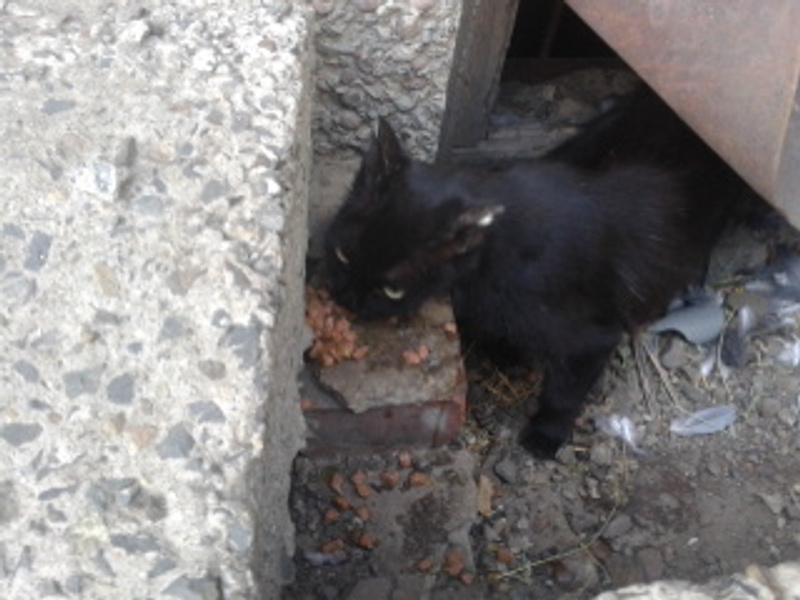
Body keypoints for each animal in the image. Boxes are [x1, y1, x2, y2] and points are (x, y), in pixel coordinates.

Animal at [322, 84, 753, 458]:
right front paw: (506, 353)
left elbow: (564, 392)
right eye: (342, 255)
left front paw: (546, 435)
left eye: (392, 289)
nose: (345, 297)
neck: (492, 258)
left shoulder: (589, 337)